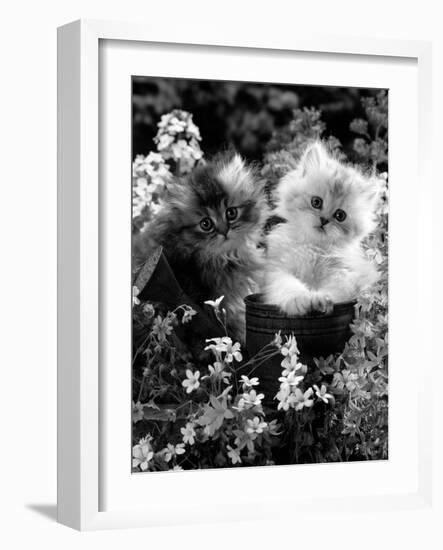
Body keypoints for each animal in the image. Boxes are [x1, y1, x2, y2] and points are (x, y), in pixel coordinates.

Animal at [264, 140, 382, 316]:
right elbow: (288, 286)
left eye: (340, 215)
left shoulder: (346, 276)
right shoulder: (277, 270)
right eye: (316, 202)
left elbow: (335, 291)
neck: (314, 247)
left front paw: (320, 299)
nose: (324, 220)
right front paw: (301, 300)